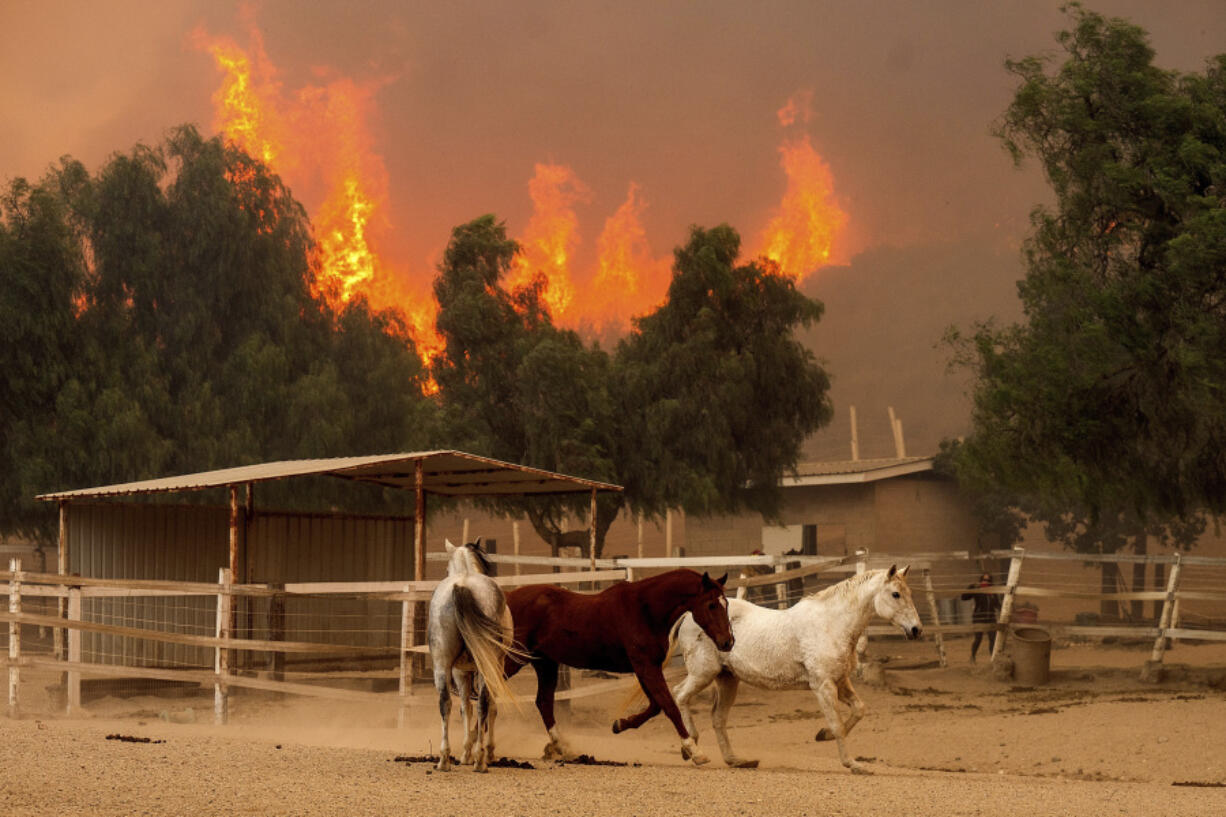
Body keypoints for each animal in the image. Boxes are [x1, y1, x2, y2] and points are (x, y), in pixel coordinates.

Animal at [426, 534, 517, 770]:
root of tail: (462, 585)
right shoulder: (487, 668)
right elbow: (486, 707)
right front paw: (482, 751)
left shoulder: (460, 671)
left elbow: (465, 707)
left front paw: (467, 752)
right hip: (484, 666)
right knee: (483, 704)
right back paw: (479, 759)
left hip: (442, 666)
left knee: (445, 703)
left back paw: (444, 759)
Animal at [505, 566, 730, 765]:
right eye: (711, 604)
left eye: (726, 603)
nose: (728, 642)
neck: (644, 610)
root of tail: (507, 598)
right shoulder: (646, 666)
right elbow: (669, 706)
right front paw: (694, 751)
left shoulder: (645, 667)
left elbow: (655, 706)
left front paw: (620, 724)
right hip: (514, 659)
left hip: (545, 663)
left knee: (543, 702)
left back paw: (562, 748)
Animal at [671, 564, 921, 775]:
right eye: (896, 594)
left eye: (908, 592)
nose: (916, 629)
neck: (831, 624)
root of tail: (689, 615)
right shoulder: (823, 686)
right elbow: (838, 725)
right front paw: (853, 764)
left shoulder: (840, 681)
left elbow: (859, 709)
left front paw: (823, 735)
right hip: (703, 673)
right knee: (679, 696)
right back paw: (693, 750)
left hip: (727, 679)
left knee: (717, 718)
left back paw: (736, 760)